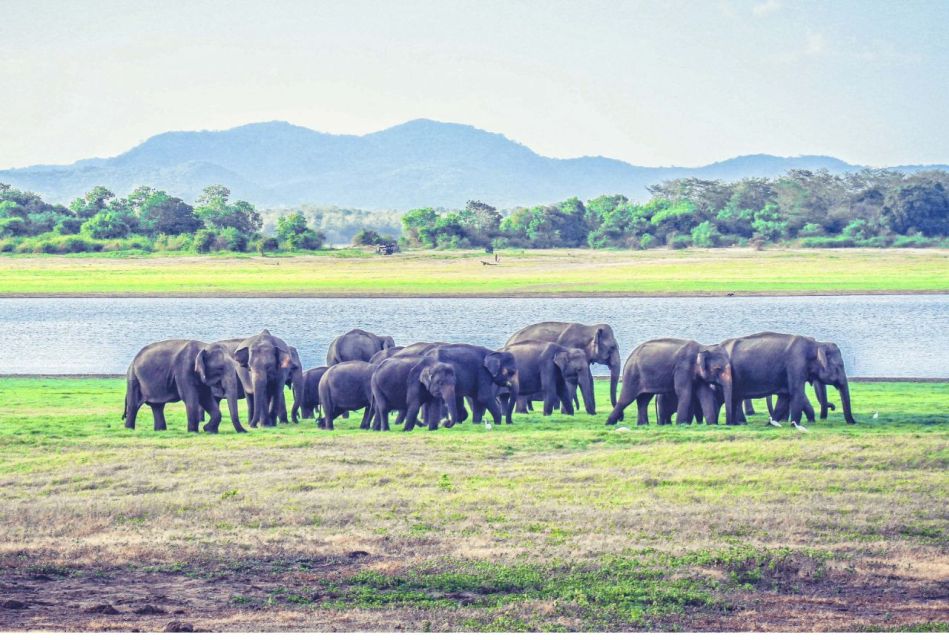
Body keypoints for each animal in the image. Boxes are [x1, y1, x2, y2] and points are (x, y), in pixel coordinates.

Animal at [724, 332, 856, 428]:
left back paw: (738, 423)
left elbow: (785, 397)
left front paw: (770, 424)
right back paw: (738, 423)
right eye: (840, 366)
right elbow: (796, 393)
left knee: (736, 398)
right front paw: (794, 425)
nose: (854, 423)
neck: (816, 344)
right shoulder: (796, 364)